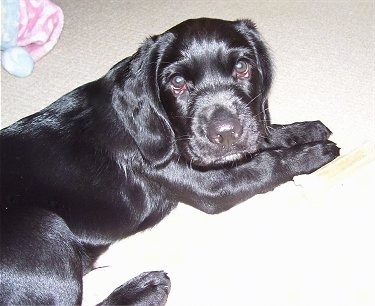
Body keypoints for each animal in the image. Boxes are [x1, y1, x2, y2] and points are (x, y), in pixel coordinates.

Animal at [0, 17, 340, 304]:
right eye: (177, 83)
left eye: (243, 67)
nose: (226, 133)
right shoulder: (211, 185)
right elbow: (266, 164)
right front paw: (315, 152)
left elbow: (263, 136)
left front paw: (303, 130)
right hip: (44, 228)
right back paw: (144, 289)